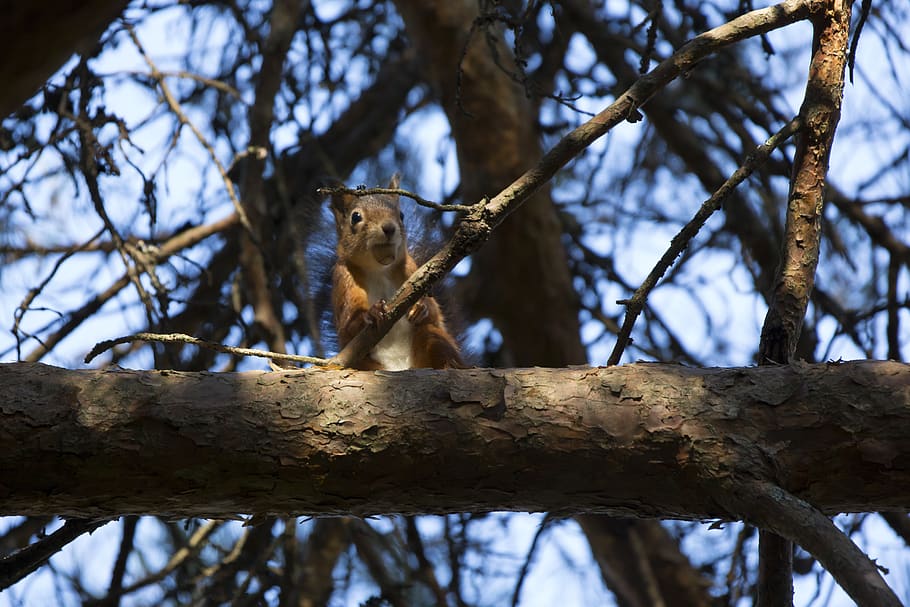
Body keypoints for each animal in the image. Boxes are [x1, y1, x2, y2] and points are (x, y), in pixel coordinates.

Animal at [329, 174, 463, 370]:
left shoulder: (411, 268)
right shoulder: (344, 278)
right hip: (361, 363)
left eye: (401, 215)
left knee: (434, 337)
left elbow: (435, 313)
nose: (389, 227)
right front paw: (371, 314)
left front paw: (420, 307)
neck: (379, 270)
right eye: (355, 217)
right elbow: (348, 324)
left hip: (432, 338)